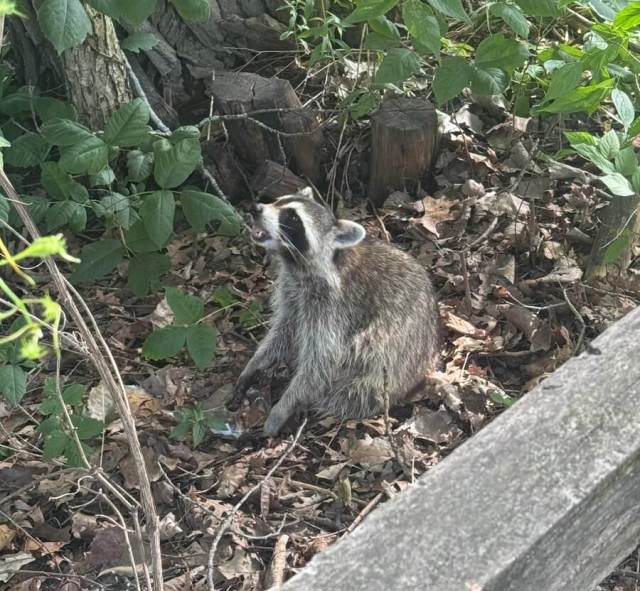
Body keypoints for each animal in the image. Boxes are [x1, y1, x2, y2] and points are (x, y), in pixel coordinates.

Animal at [231, 187, 440, 436]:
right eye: (277, 201)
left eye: (292, 217)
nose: (255, 208)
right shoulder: (292, 291)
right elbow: (284, 331)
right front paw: (256, 362)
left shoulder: (334, 306)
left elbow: (323, 360)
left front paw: (286, 404)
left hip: (394, 358)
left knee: (362, 369)